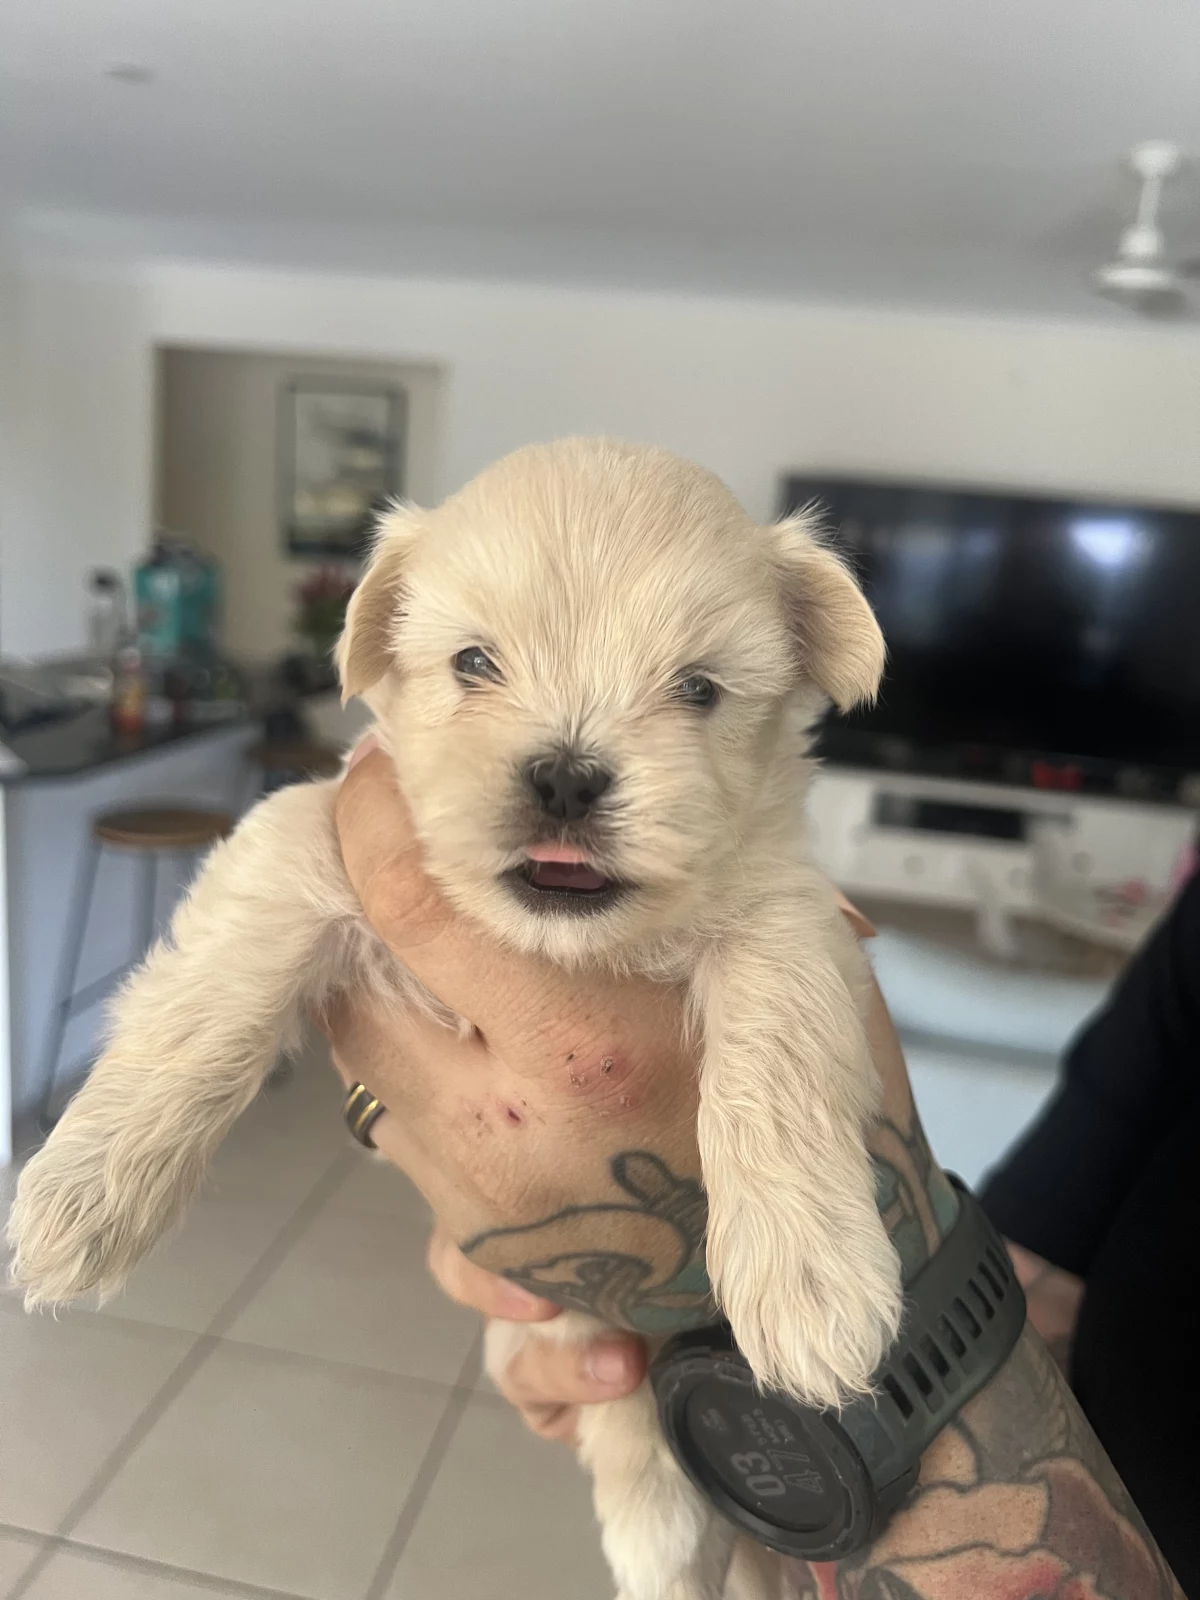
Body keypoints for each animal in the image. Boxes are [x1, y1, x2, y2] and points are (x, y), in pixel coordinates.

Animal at [8, 438, 900, 1600]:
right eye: (474, 663)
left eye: (700, 689)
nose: (565, 775)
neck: (563, 943)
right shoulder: (313, 828)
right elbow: (208, 994)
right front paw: (83, 1195)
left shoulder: (790, 910)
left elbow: (777, 1042)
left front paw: (809, 1275)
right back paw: (659, 1535)